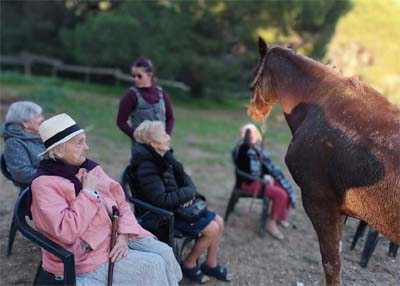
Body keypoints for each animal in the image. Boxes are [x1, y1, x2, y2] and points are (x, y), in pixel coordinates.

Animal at [248, 38, 400, 286]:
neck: (319, 101)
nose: (253, 111)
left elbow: (331, 265)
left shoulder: (320, 204)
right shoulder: (342, 211)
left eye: (255, 78)